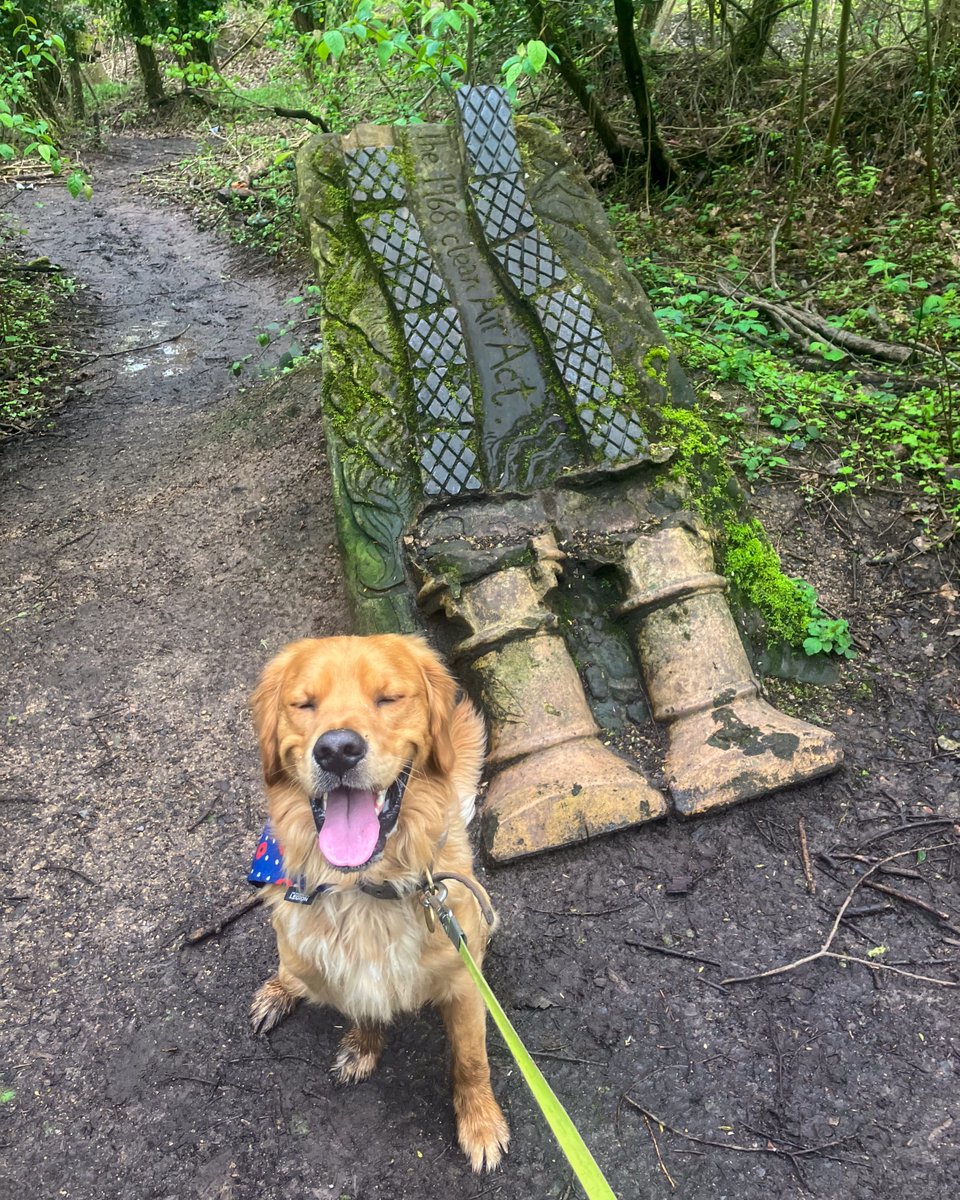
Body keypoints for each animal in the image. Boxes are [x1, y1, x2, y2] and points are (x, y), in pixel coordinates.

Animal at [247, 638, 508, 1171]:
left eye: (388, 698)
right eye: (304, 704)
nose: (336, 750)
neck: (366, 886)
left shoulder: (463, 981)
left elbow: (470, 1061)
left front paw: (481, 1124)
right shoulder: (342, 972)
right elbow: (362, 1011)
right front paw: (364, 1046)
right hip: (295, 951)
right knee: (292, 973)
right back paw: (278, 992)